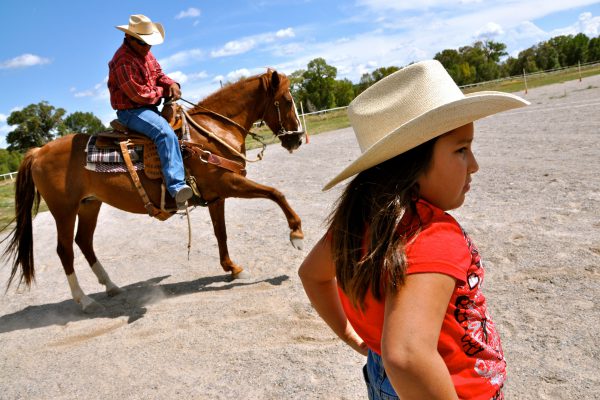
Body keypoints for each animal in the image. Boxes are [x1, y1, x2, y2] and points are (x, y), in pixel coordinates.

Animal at [1, 69, 304, 312]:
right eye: (288, 100)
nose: (298, 138)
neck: (211, 133)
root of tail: (39, 151)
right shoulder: (229, 183)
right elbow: (276, 193)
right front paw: (296, 234)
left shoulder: (217, 196)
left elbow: (222, 233)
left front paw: (232, 268)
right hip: (64, 210)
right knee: (65, 250)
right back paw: (85, 301)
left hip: (90, 204)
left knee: (83, 242)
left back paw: (111, 286)